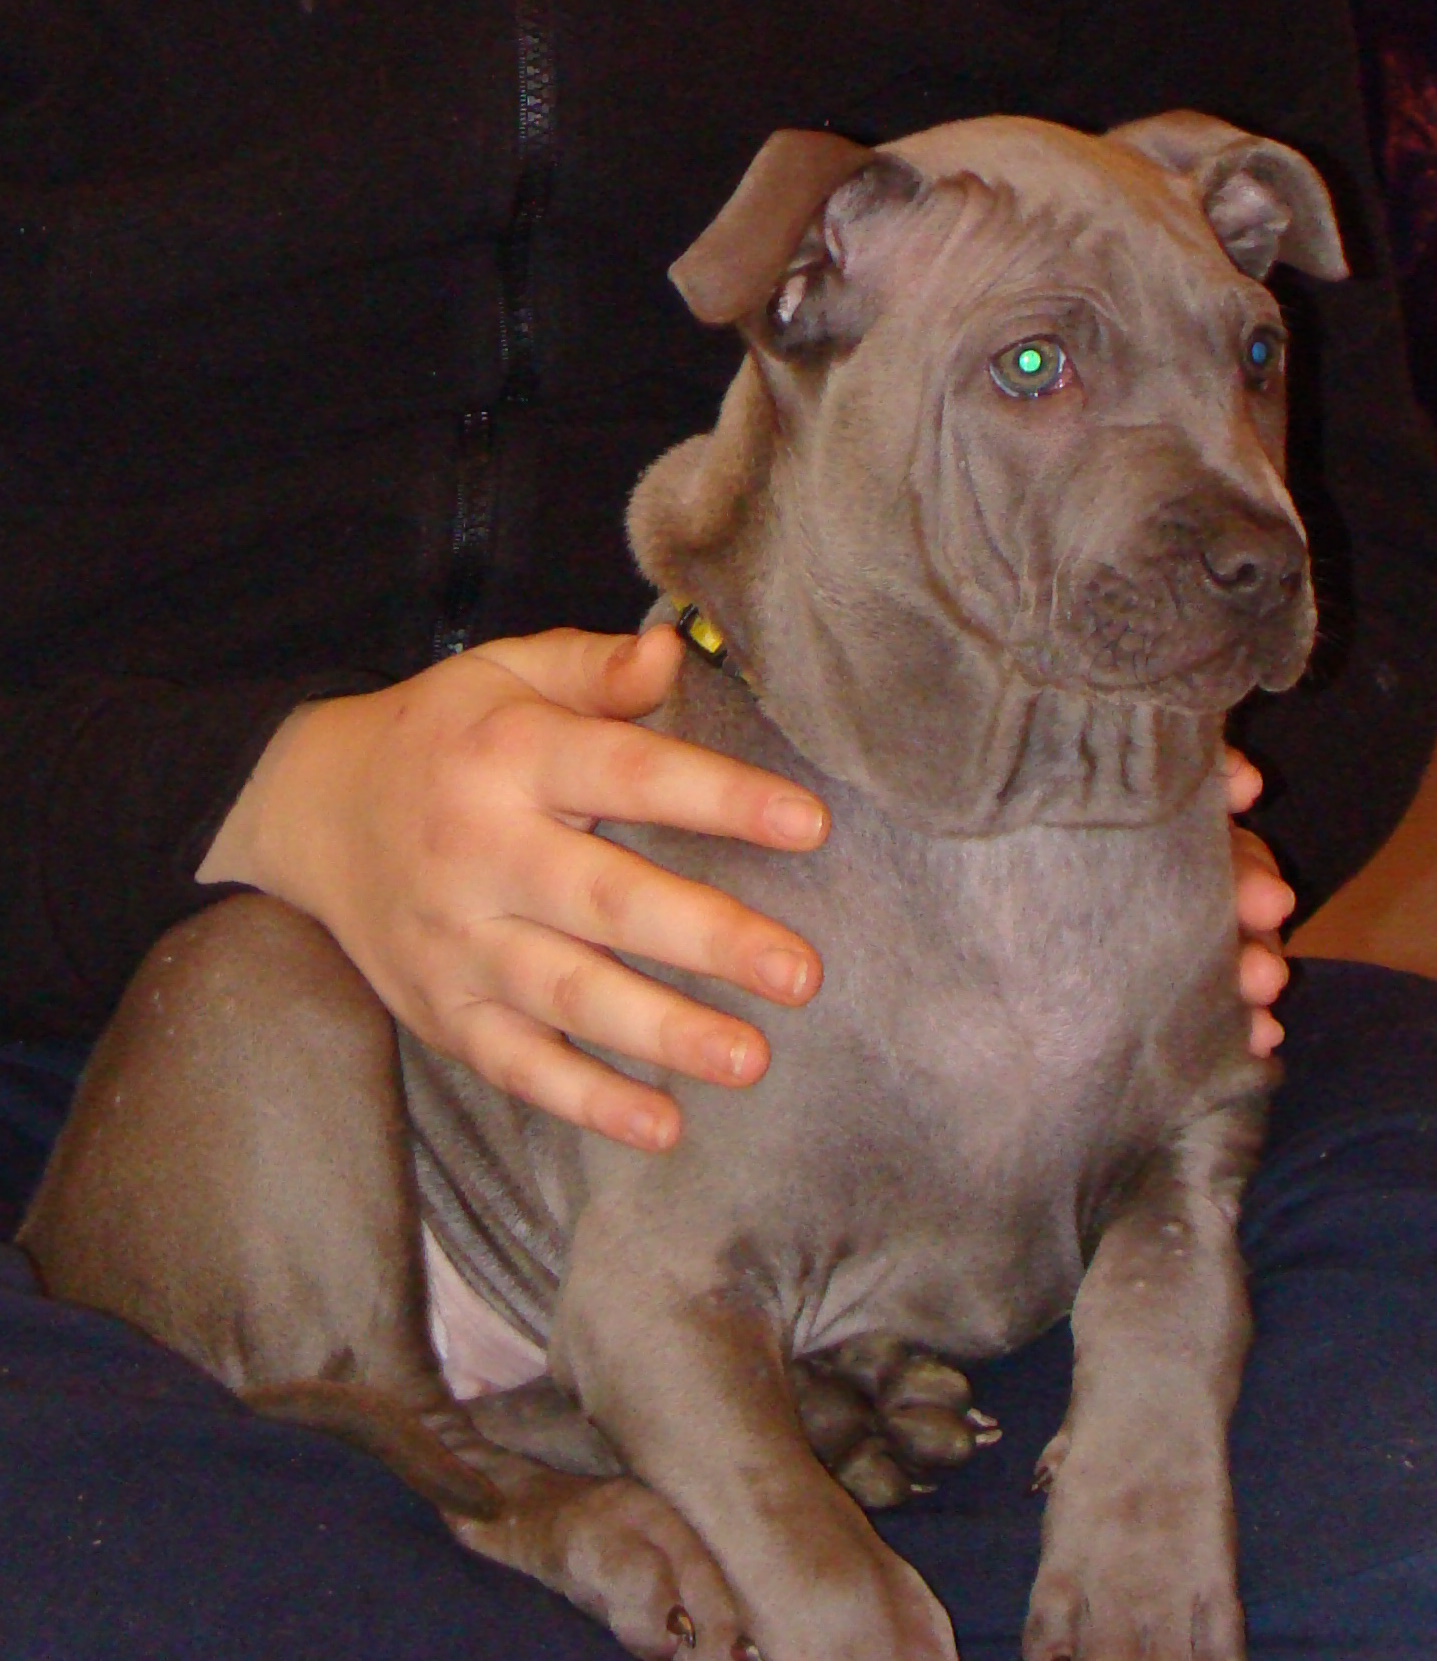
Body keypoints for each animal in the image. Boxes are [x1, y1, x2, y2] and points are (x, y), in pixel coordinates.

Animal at [21, 110, 1346, 1661]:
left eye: (1257, 351)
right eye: (1033, 366)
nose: (1264, 565)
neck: (1014, 835)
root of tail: (48, 1230)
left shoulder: (1195, 1153)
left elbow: (1160, 1330)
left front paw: (1138, 1580)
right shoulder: (653, 1291)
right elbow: (825, 1569)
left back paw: (860, 1404)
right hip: (275, 991)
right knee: (417, 1433)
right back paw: (651, 1536)